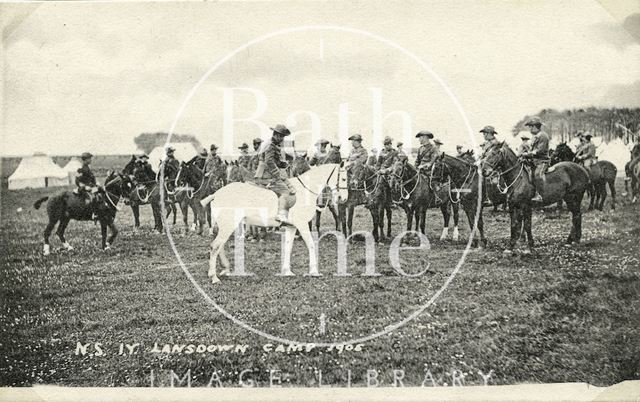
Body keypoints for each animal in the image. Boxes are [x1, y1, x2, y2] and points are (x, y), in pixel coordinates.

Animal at [200, 162, 344, 284]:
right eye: (343, 178)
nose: (341, 198)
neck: (304, 191)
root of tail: (216, 194)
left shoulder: (292, 227)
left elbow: (288, 247)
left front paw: (287, 271)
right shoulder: (302, 225)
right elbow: (311, 245)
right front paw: (314, 272)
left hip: (226, 225)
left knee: (219, 245)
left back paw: (225, 269)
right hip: (228, 225)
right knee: (215, 246)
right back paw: (214, 277)